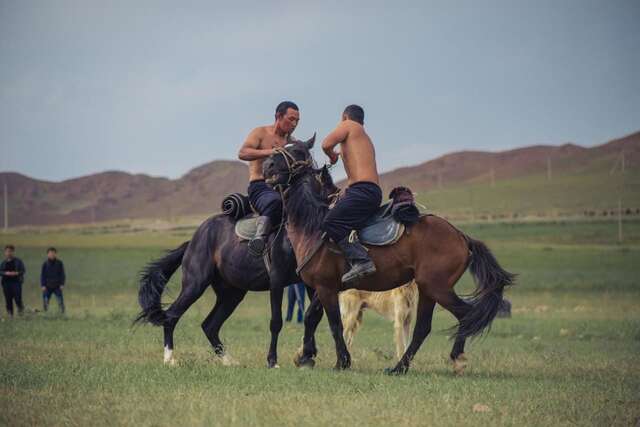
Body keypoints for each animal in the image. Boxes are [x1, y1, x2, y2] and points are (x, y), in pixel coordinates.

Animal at [136, 140, 336, 368]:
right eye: (291, 149)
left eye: (300, 150)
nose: (269, 166)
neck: (298, 230)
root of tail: (194, 238)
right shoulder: (276, 282)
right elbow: (276, 321)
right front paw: (273, 361)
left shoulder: (311, 283)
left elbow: (315, 315)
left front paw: (307, 356)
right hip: (195, 284)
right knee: (172, 316)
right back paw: (170, 359)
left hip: (232, 293)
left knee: (209, 325)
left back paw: (229, 361)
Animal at [262, 139, 516, 376]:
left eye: (296, 150)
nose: (267, 165)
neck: (313, 227)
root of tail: (462, 237)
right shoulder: (326, 287)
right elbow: (310, 317)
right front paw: (305, 356)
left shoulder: (325, 288)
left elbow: (334, 324)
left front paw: (341, 361)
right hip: (428, 290)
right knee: (423, 328)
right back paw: (399, 367)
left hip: (437, 288)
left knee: (465, 315)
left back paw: (457, 358)